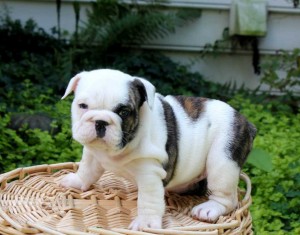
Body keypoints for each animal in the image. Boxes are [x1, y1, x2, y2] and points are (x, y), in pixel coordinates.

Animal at [59, 68, 256, 229]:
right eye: (82, 106)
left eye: (124, 112)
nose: (100, 121)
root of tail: (247, 122)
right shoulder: (92, 154)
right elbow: (87, 169)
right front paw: (76, 181)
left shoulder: (150, 174)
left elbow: (148, 201)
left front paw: (145, 223)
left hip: (222, 160)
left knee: (227, 197)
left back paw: (210, 209)